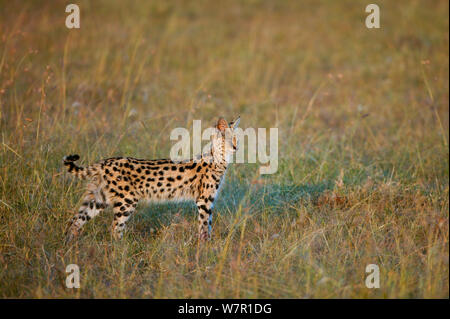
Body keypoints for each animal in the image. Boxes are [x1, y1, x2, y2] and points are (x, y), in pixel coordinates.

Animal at [63, 117, 241, 242]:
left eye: (236, 139)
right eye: (228, 140)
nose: (236, 147)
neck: (217, 159)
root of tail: (105, 161)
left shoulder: (207, 201)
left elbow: (207, 225)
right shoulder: (204, 200)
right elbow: (204, 226)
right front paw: (205, 247)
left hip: (99, 199)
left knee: (75, 221)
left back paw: (68, 245)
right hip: (126, 201)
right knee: (114, 228)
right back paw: (121, 251)